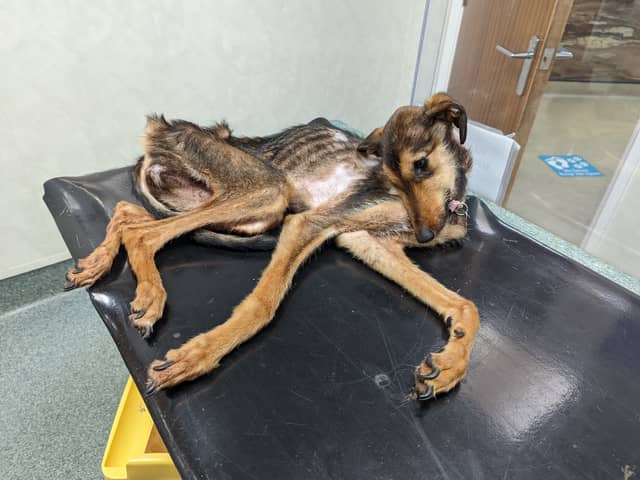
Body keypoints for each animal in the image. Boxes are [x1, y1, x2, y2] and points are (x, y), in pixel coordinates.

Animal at [65, 94, 480, 402]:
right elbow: (262, 305)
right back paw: (150, 294)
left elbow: (465, 304)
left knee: (127, 213)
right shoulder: (312, 223)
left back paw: (96, 263)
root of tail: (158, 135)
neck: (452, 204)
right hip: (267, 192)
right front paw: (198, 355)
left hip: (236, 210)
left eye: (422, 165)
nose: (425, 235)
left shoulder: (367, 241)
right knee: (143, 235)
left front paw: (452, 364)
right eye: (391, 177)